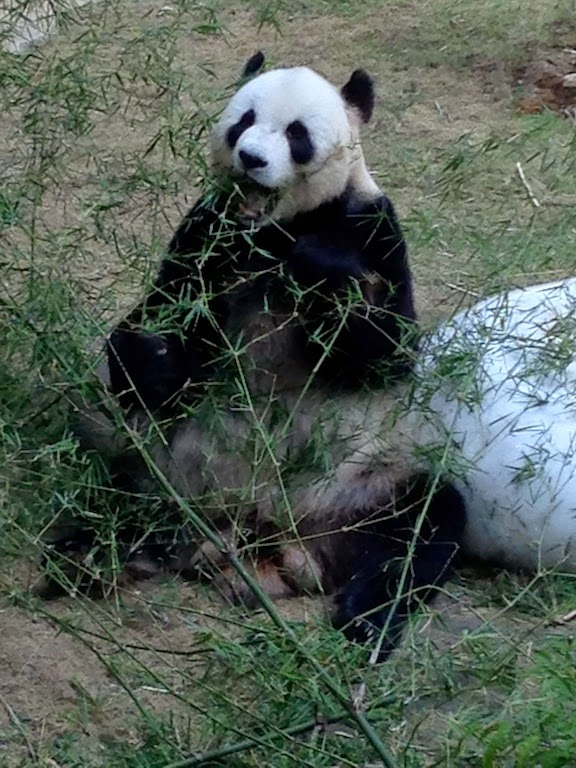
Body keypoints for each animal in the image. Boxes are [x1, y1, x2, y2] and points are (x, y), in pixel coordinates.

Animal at [46, 52, 467, 662]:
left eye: (297, 134)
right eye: (243, 120)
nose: (251, 158)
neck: (276, 227)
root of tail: (253, 538)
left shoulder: (372, 228)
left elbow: (389, 353)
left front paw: (322, 270)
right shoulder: (207, 233)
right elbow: (163, 328)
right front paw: (149, 352)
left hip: (359, 484)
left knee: (425, 523)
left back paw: (366, 621)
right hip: (158, 468)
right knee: (110, 476)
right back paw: (93, 552)